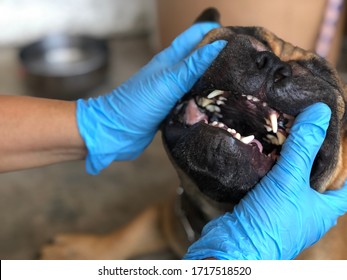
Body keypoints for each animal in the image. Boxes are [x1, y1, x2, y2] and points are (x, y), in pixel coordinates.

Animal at [40, 7, 347, 260]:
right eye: (240, 33)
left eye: (325, 77)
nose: (273, 63)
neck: (217, 213)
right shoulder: (166, 214)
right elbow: (130, 231)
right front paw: (79, 250)